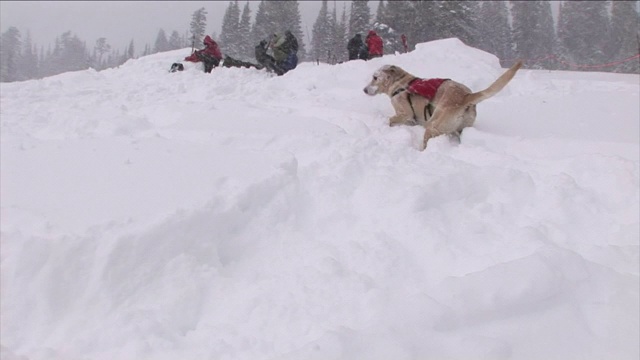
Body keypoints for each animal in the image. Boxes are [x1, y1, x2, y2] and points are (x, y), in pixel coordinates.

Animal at [362, 61, 524, 148]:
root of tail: (465, 97)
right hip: (458, 128)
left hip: (432, 125)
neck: (400, 83)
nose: (364, 90)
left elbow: (391, 119)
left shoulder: (405, 114)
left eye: (375, 77)